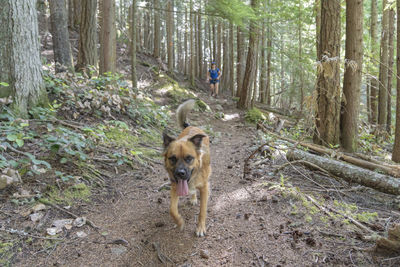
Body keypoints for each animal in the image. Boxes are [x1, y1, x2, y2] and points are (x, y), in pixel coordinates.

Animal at [162, 99, 212, 238]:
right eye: (172, 158)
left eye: (189, 158)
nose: (180, 173)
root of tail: (191, 126)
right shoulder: (175, 186)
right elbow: (172, 209)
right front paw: (179, 222)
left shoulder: (204, 188)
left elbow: (202, 211)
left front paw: (200, 227)